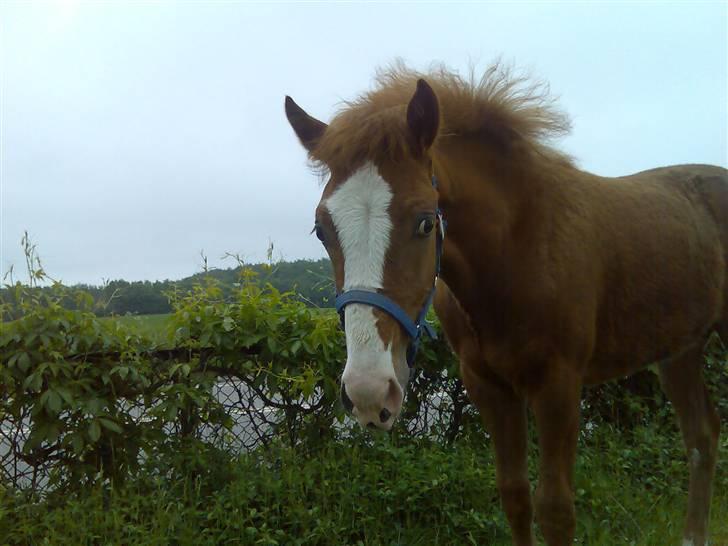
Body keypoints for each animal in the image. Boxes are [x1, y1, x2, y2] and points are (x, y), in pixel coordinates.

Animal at [284, 61, 728, 540]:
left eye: (425, 222)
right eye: (321, 230)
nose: (368, 393)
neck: (517, 254)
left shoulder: (558, 386)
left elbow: (555, 510)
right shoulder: (489, 387)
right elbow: (515, 495)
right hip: (680, 351)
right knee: (702, 436)